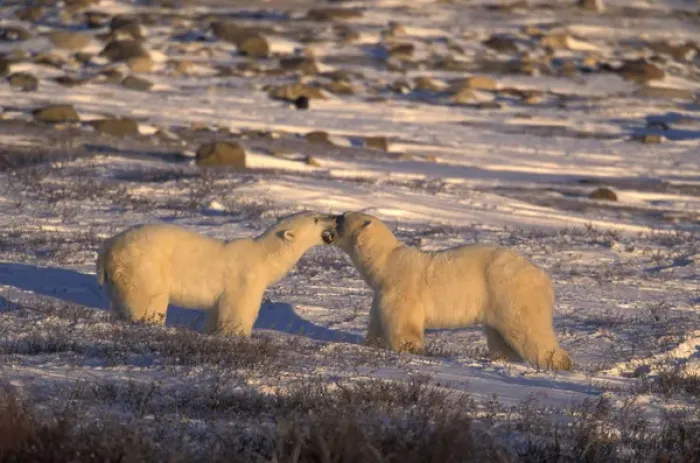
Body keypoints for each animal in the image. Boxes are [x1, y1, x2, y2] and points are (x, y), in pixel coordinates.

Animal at [96, 211, 337, 335]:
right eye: (315, 218)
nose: (335, 218)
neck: (263, 255)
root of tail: (107, 249)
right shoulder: (245, 279)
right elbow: (239, 311)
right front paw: (236, 335)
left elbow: (215, 311)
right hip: (144, 267)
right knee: (149, 300)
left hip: (117, 279)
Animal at [330, 211, 572, 371]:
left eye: (343, 217)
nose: (334, 217)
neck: (387, 263)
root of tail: (544, 278)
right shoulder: (381, 294)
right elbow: (377, 324)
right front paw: (372, 344)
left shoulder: (401, 290)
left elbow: (404, 325)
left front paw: (410, 350)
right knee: (500, 337)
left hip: (511, 293)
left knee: (529, 331)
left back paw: (559, 363)